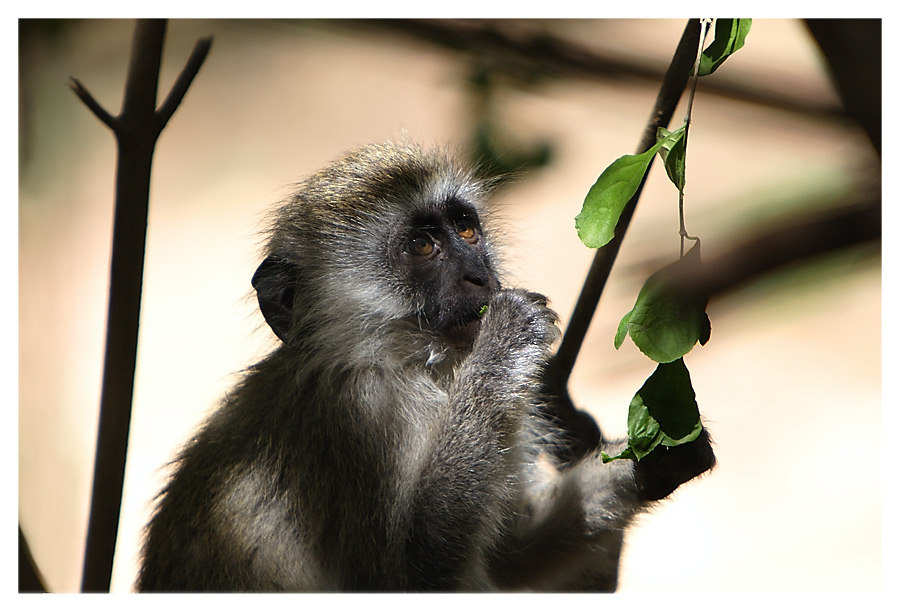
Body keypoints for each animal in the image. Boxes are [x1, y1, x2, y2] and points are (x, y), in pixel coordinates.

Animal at [139, 140, 716, 592]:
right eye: (421, 245)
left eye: (466, 231)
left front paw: (658, 457)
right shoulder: (358, 418)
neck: (410, 365)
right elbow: (410, 575)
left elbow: (508, 557)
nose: (480, 278)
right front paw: (504, 342)